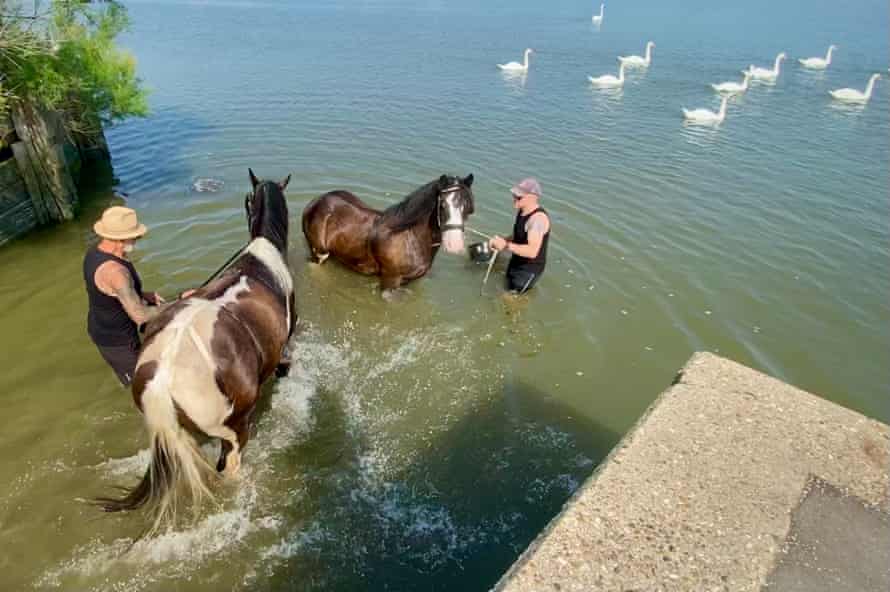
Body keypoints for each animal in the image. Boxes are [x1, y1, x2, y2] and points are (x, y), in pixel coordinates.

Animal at [301, 174, 475, 296]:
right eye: (442, 205)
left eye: (467, 207)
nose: (455, 244)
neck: (409, 237)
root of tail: (316, 201)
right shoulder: (390, 282)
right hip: (319, 254)